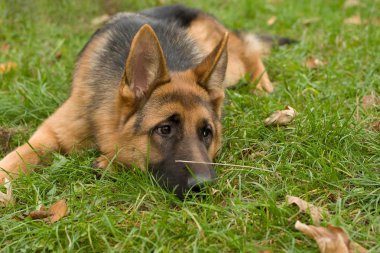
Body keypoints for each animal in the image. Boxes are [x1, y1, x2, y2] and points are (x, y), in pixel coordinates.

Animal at [0, 3, 290, 198]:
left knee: (249, 52)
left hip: (230, 66)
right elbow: (19, 157)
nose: (204, 186)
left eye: (206, 132)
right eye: (165, 129)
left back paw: (262, 84)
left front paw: (109, 163)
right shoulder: (51, 132)